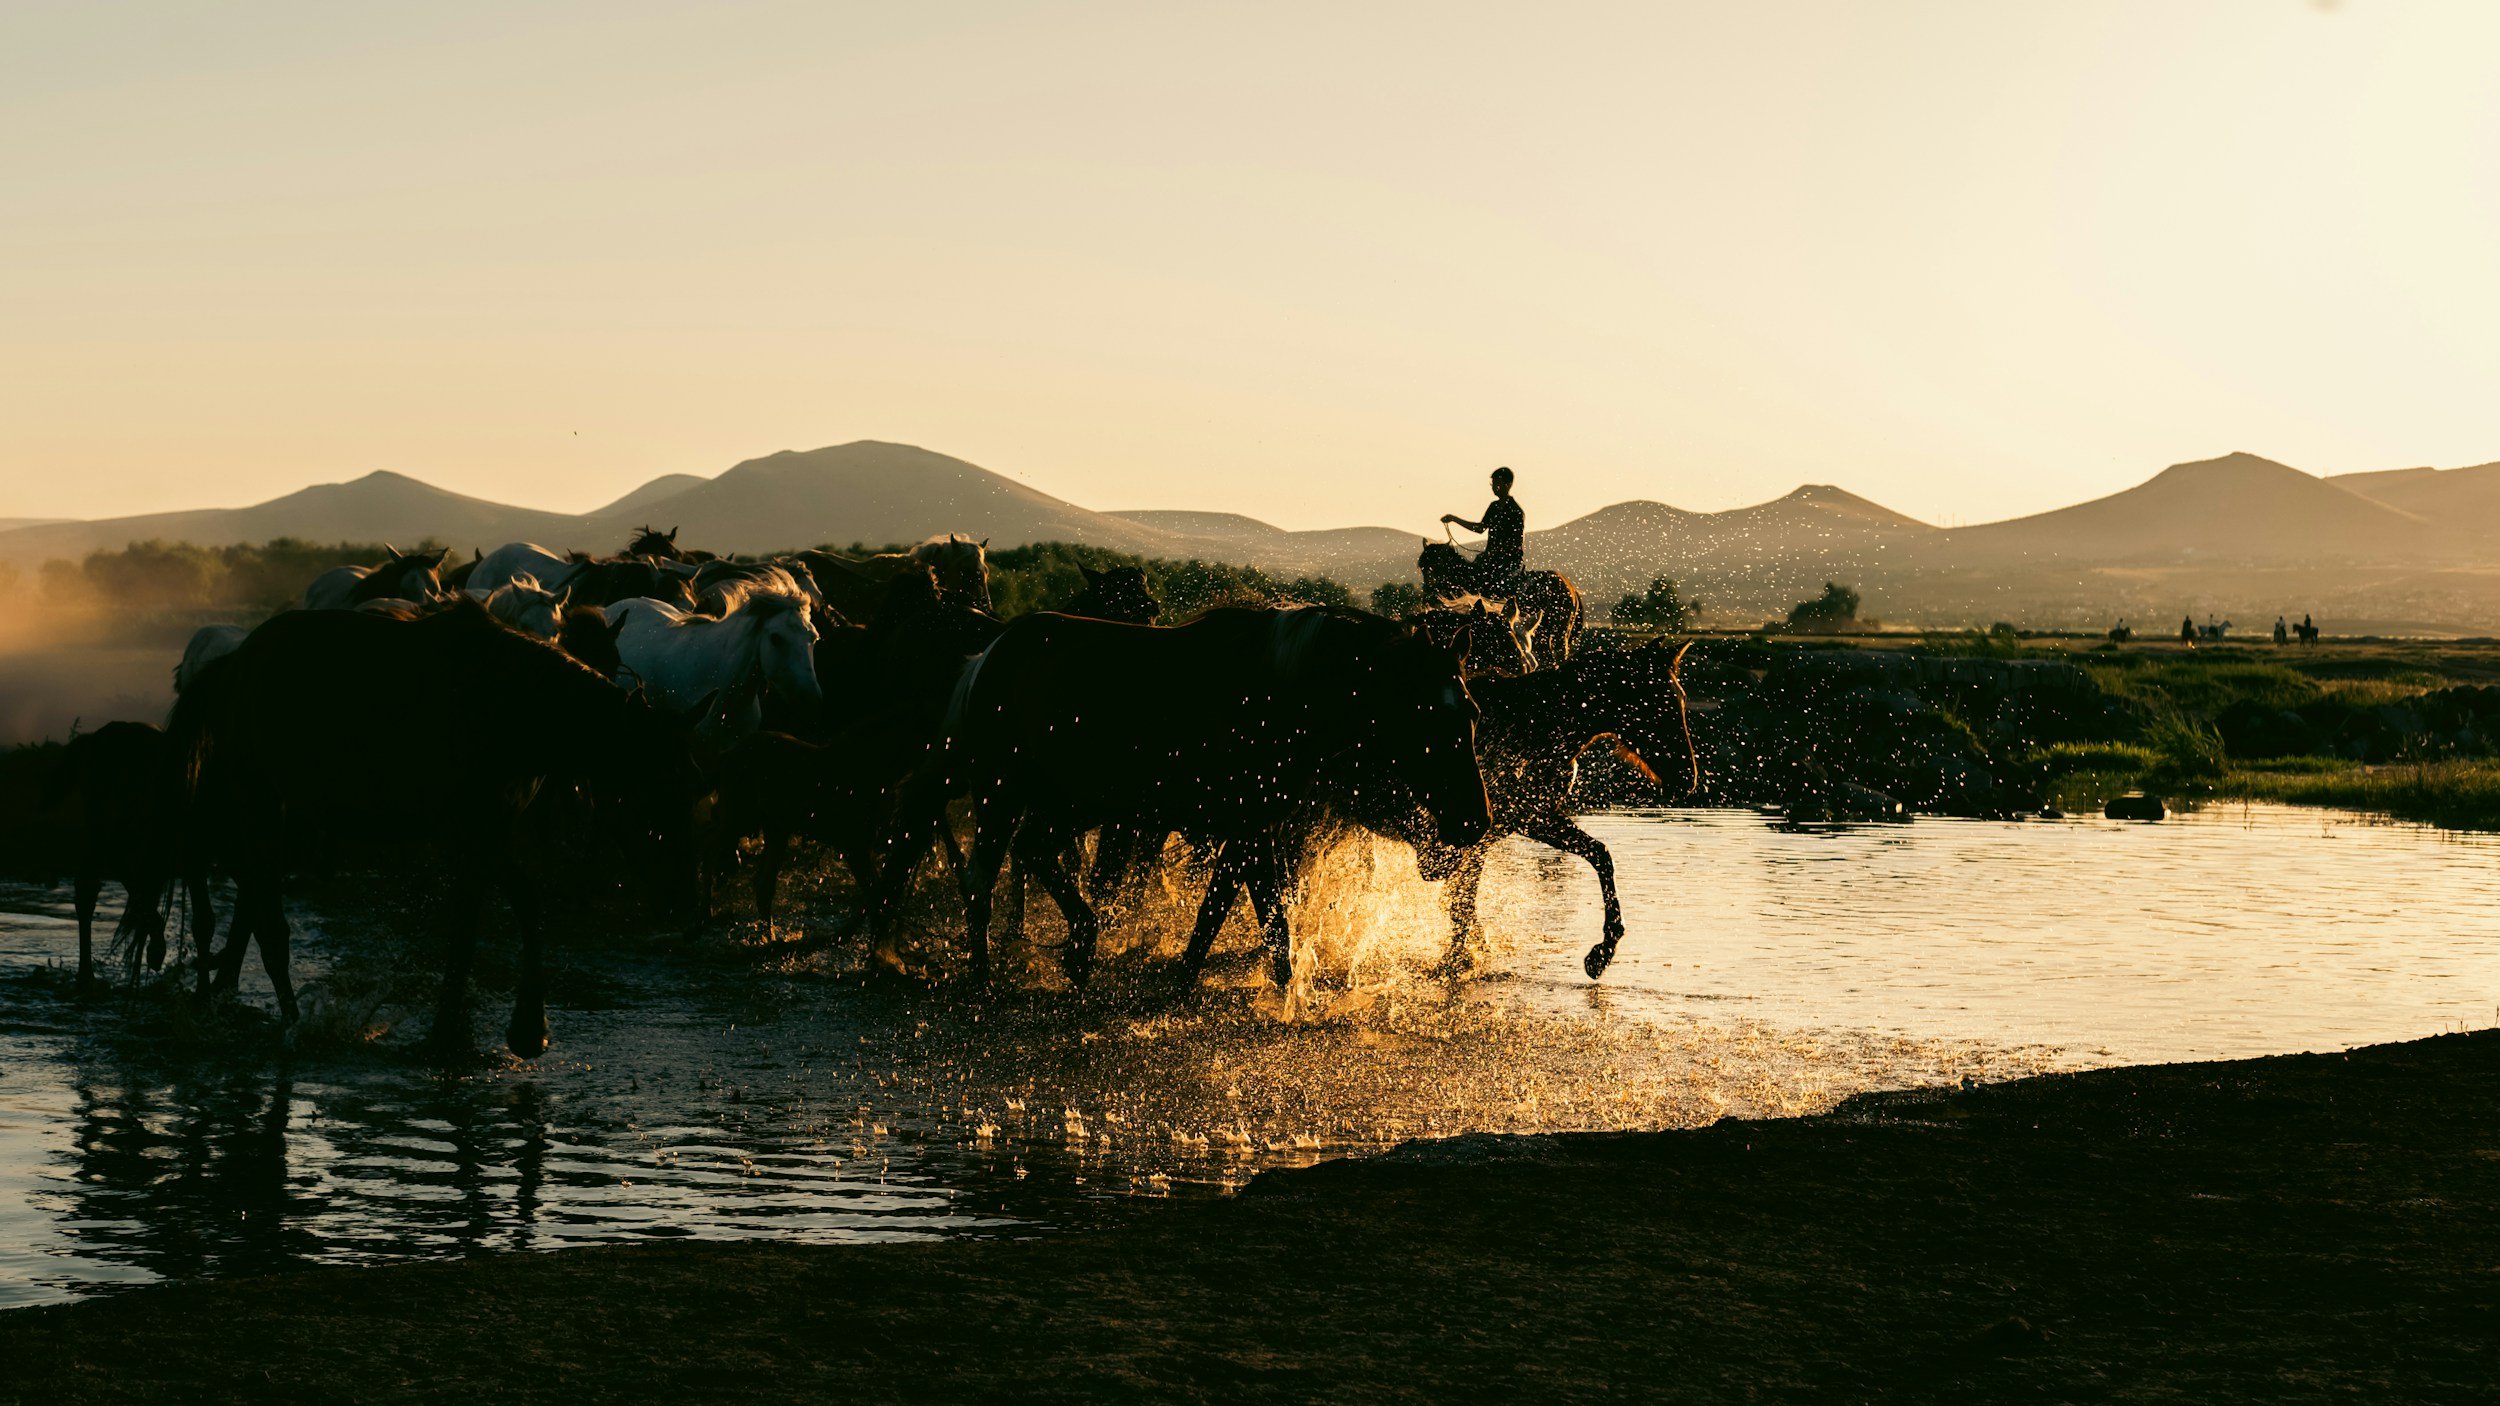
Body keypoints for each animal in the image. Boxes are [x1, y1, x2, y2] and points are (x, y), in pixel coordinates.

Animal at [168, 601, 704, 1057]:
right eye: (656, 786)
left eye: (693, 786)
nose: (679, 897)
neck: (515, 706)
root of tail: (234, 664)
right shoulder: (468, 831)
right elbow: (508, 909)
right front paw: (505, 1029)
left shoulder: (490, 831)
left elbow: (483, 921)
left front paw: (481, 1029)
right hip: (260, 800)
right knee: (268, 920)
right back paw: (292, 1023)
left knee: (253, 902)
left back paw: (230, 994)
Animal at [873, 607, 1490, 987]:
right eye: (1427, 717)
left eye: (1473, 713)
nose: (1474, 821)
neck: (1283, 693)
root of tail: (986, 658)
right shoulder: (1248, 830)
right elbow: (1246, 919)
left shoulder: (1250, 831)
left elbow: (1242, 921)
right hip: (1001, 794)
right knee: (981, 878)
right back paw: (985, 975)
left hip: (1069, 804)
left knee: (1031, 852)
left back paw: (1080, 946)